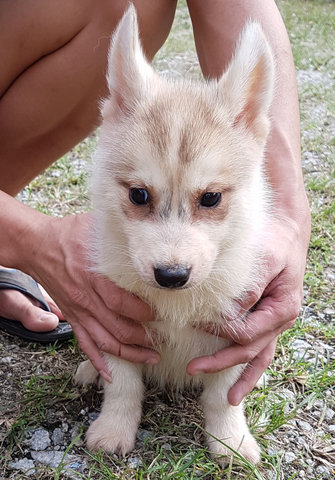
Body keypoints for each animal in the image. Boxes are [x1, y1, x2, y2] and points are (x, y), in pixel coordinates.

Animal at [76, 5, 276, 464]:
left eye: (211, 198)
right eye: (138, 194)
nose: (171, 276)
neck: (176, 305)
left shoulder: (234, 333)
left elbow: (224, 396)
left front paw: (230, 440)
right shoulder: (115, 322)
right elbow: (122, 384)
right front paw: (113, 430)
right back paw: (88, 368)